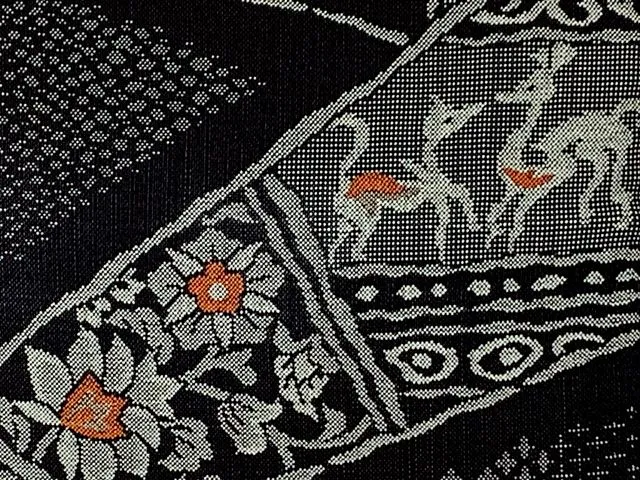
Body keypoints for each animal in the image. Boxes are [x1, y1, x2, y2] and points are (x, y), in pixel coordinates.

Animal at [329, 97, 485, 263]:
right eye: (449, 119)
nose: (472, 109)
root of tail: (346, 184)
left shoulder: (440, 193)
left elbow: (459, 195)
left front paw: (472, 226)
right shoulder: (437, 194)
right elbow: (453, 204)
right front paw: (444, 251)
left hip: (351, 215)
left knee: (342, 233)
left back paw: (333, 258)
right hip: (366, 215)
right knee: (355, 245)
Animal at [488, 42, 639, 253]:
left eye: (532, 86)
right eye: (525, 80)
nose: (502, 96)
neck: (521, 155)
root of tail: (613, 116)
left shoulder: (539, 186)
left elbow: (518, 215)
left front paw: (510, 242)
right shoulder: (512, 188)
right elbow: (496, 211)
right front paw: (493, 234)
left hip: (588, 150)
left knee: (610, 163)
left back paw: (615, 213)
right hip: (585, 149)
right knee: (602, 163)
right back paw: (586, 209)